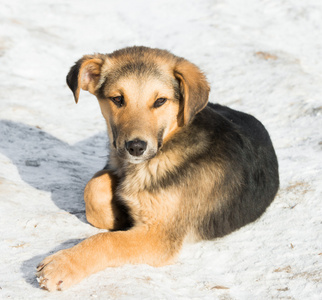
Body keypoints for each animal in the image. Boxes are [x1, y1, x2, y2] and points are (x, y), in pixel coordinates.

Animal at [36, 47, 280, 290]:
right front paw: (120, 215)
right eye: (118, 99)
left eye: (160, 101)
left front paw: (63, 264)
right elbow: (93, 187)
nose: (136, 147)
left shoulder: (160, 236)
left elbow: (108, 240)